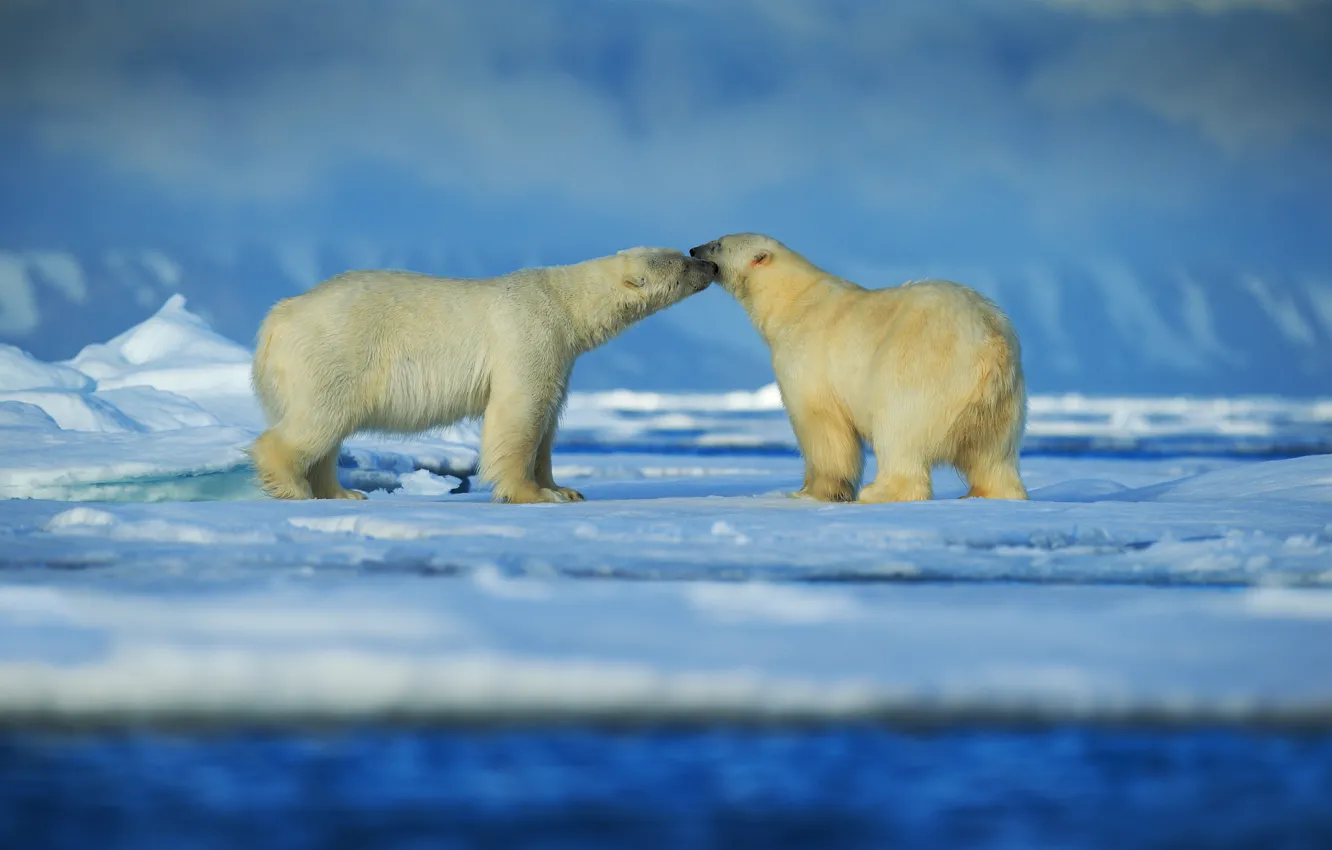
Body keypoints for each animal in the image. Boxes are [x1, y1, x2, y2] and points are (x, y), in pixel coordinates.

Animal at [250, 246, 719, 503]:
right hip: (335, 350)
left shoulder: (562, 355)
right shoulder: (529, 333)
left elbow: (548, 421)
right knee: (318, 420)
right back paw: (293, 487)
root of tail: (277, 317)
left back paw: (342, 491)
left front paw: (564, 488)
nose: (710, 265)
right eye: (681, 263)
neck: (564, 302)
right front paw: (533, 493)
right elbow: (520, 412)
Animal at [692, 233, 1022, 506]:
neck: (791, 300)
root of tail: (989, 343)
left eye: (718, 243)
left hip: (920, 371)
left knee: (899, 432)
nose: (694, 250)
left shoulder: (807, 358)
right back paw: (991, 493)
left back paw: (879, 492)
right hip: (1003, 402)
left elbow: (820, 425)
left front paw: (812, 492)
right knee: (994, 455)